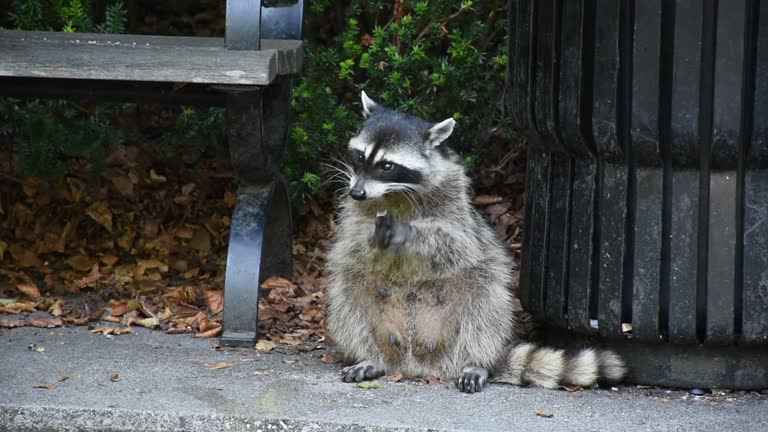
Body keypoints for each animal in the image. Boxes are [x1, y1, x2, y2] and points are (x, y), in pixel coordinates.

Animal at [324, 93, 624, 394]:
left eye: (387, 166)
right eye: (360, 156)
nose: (358, 192)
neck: (395, 192)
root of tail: (416, 366)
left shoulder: (455, 201)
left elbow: (454, 242)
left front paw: (410, 233)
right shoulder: (354, 209)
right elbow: (352, 241)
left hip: (479, 290)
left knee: (486, 307)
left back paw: (476, 361)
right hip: (362, 302)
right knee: (348, 299)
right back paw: (370, 355)